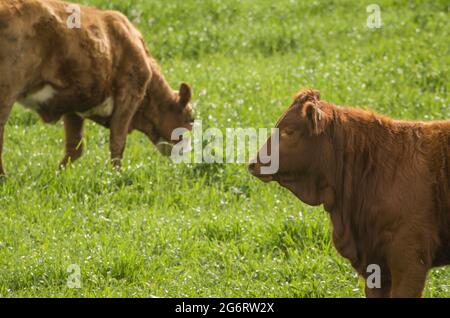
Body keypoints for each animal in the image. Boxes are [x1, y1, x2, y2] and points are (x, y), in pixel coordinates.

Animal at [0, 0, 192, 174]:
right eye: (191, 117)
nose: (188, 154)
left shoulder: (74, 102)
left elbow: (75, 147)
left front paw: (57, 174)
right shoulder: (130, 94)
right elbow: (117, 141)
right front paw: (116, 175)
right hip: (7, 92)